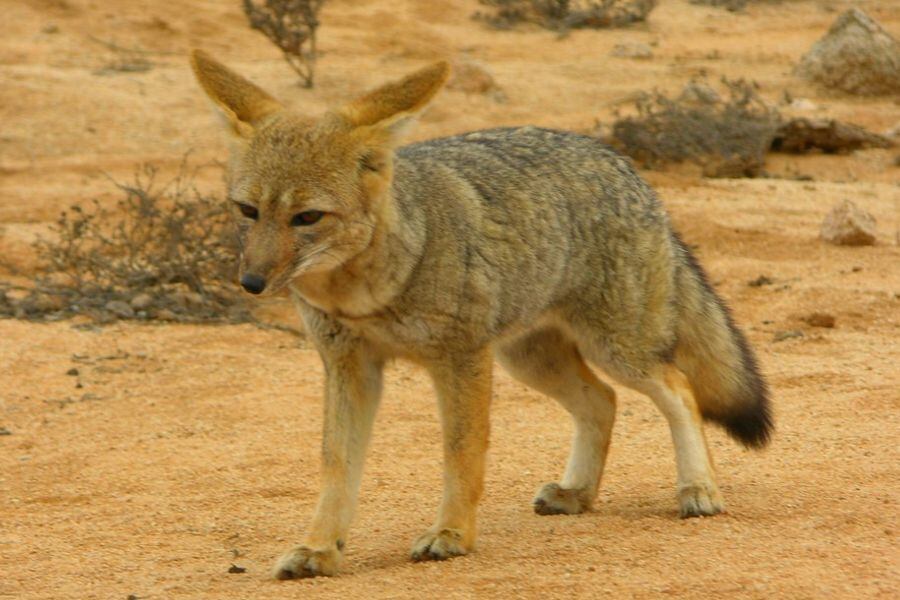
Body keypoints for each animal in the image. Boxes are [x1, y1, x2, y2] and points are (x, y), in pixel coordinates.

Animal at [190, 50, 773, 580]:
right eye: (248, 211)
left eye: (307, 217)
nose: (250, 283)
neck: (367, 295)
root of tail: (620, 163)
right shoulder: (348, 368)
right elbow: (337, 465)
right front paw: (320, 548)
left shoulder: (460, 359)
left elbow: (462, 454)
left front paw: (450, 534)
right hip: (530, 360)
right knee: (602, 401)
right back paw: (577, 492)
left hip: (616, 350)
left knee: (678, 388)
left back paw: (698, 488)